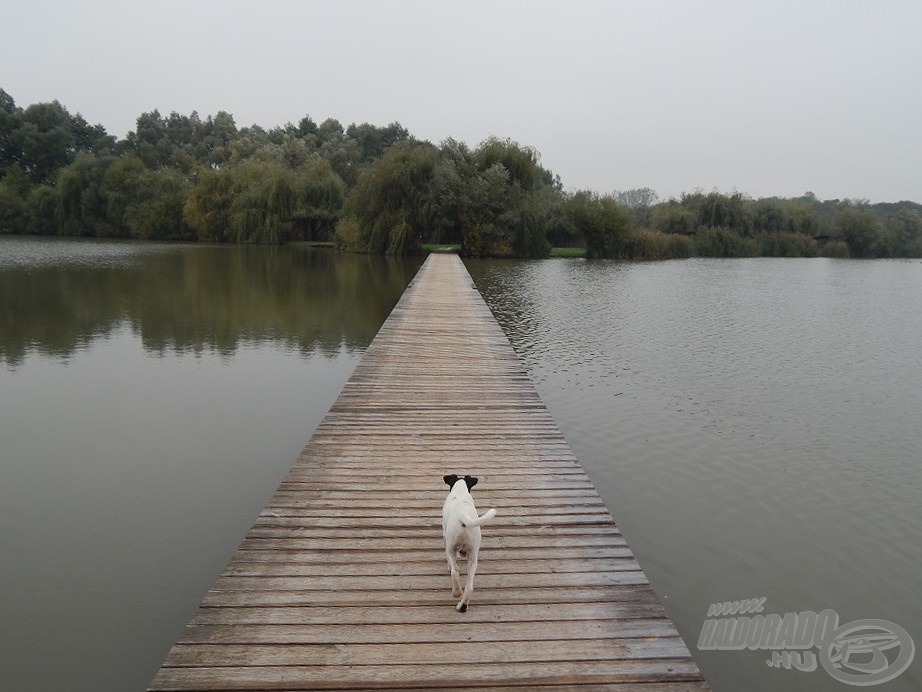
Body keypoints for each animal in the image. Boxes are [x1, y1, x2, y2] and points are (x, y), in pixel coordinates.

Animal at [440, 476, 496, 612]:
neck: (460, 492)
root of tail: (463, 515)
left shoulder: (445, 537)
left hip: (451, 546)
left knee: (454, 573)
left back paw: (456, 592)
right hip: (473, 556)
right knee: (470, 587)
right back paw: (463, 606)